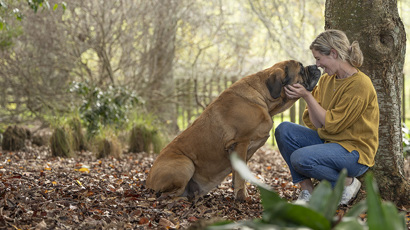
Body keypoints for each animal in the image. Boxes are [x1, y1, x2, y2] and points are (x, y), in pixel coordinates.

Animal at [146, 60, 322, 200]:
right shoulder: (241, 143)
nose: (315, 66)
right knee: (165, 196)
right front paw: (242, 197)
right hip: (185, 164)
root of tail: (147, 181)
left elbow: (238, 173)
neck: (263, 98)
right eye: (301, 69)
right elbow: (241, 176)